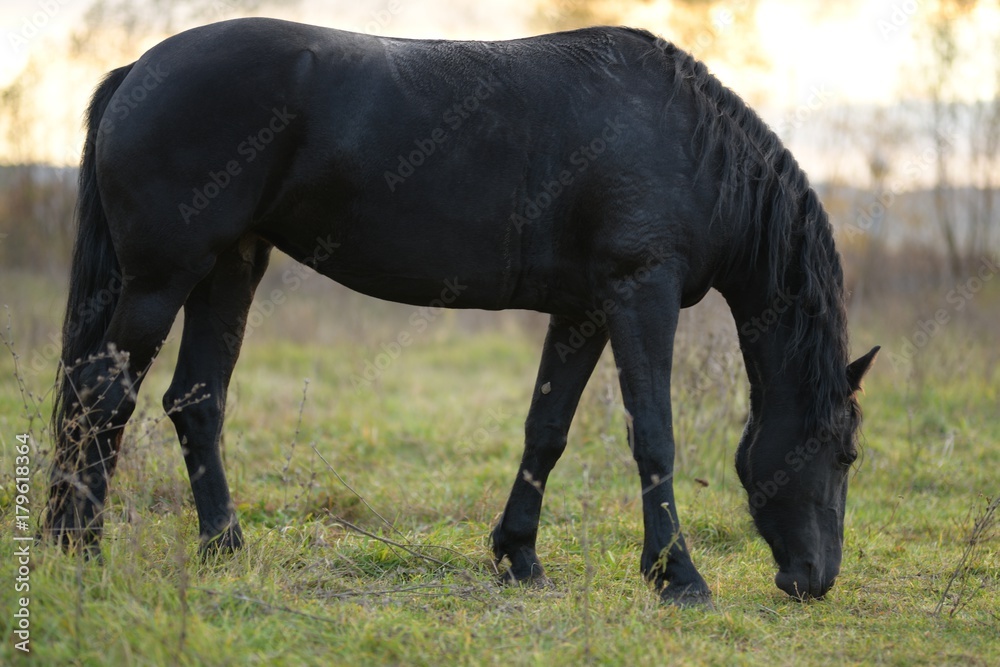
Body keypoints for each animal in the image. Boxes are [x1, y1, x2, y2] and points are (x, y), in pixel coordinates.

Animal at [47, 19, 876, 604]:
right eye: (844, 453)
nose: (815, 578)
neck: (685, 144)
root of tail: (136, 71)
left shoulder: (583, 309)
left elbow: (547, 430)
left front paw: (520, 555)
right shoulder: (641, 293)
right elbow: (654, 436)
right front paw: (678, 577)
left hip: (229, 268)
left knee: (193, 401)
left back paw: (220, 544)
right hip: (162, 279)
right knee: (100, 395)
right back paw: (77, 545)